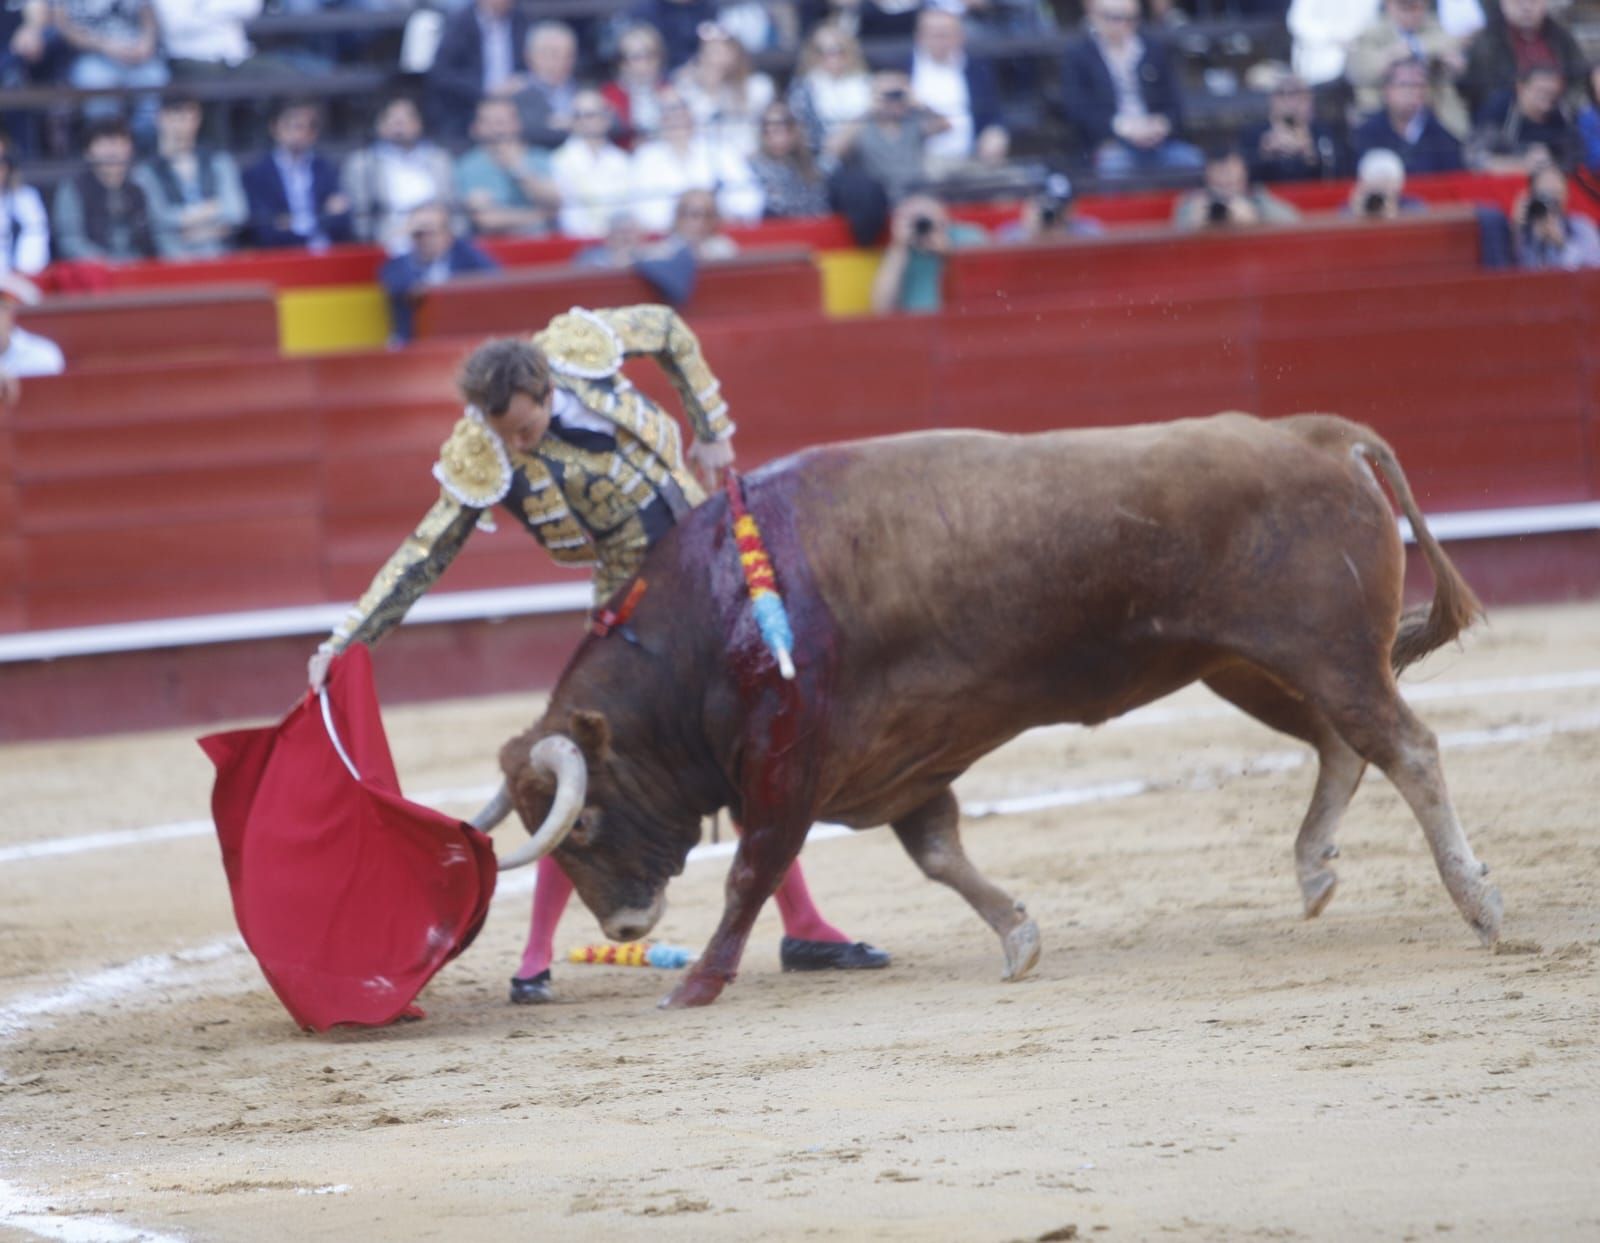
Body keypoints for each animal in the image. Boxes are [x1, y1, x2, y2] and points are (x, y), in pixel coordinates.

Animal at [467, 412, 1491, 1004]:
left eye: (583, 820)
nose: (623, 928)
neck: (712, 620)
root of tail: (1316, 434)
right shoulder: (900, 763)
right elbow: (939, 856)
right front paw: (1019, 936)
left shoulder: (788, 767)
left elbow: (751, 872)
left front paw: (699, 985)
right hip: (1249, 665)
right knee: (1341, 744)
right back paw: (1316, 870)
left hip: (1326, 653)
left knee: (1407, 747)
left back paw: (1478, 901)